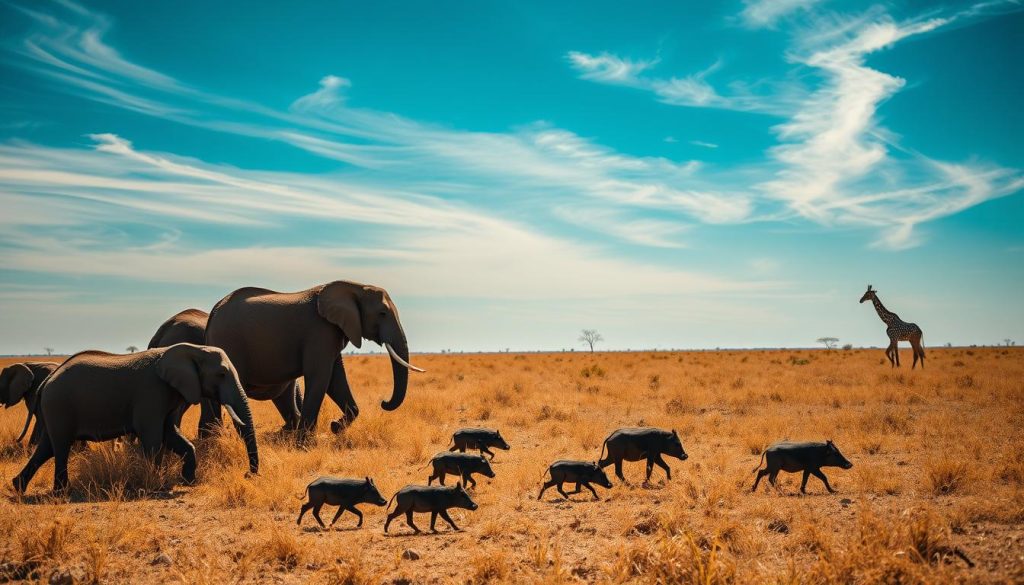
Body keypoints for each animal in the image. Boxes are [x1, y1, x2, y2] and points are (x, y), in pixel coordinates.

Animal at [11, 344, 258, 493]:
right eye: (221, 374)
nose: (248, 474)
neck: (192, 349)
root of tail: (47, 381)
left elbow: (171, 434)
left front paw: (187, 482)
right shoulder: (151, 393)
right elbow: (153, 437)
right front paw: (156, 485)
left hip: (54, 408)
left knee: (48, 447)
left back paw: (18, 487)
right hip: (59, 405)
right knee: (60, 446)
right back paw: (62, 492)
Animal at [205, 280, 421, 438]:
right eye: (382, 313)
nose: (383, 402)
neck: (355, 286)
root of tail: (213, 312)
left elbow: (335, 379)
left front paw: (335, 428)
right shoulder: (320, 331)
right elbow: (320, 377)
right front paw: (304, 442)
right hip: (229, 343)